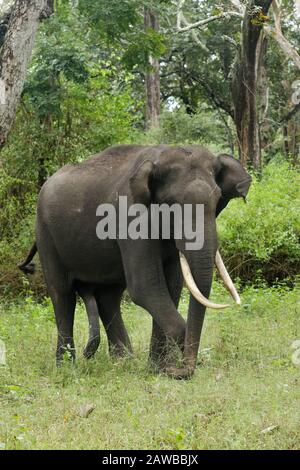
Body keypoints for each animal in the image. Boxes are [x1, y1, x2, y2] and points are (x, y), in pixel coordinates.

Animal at [19, 143, 251, 378]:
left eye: (217, 200)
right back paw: (66, 367)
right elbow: (146, 287)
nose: (179, 370)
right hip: (46, 234)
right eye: (171, 204)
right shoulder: (130, 215)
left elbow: (172, 286)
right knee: (62, 294)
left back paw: (122, 362)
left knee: (108, 295)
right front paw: (165, 367)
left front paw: (157, 368)